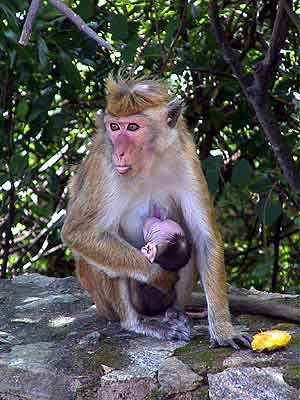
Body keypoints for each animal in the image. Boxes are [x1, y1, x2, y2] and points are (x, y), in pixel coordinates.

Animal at [62, 73, 252, 348]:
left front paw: (224, 330)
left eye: (132, 127)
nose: (120, 152)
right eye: (115, 127)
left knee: (187, 242)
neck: (148, 162)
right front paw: (158, 276)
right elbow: (80, 233)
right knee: (106, 247)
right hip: (101, 297)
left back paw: (173, 314)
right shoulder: (105, 166)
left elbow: (203, 236)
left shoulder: (186, 156)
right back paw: (138, 323)